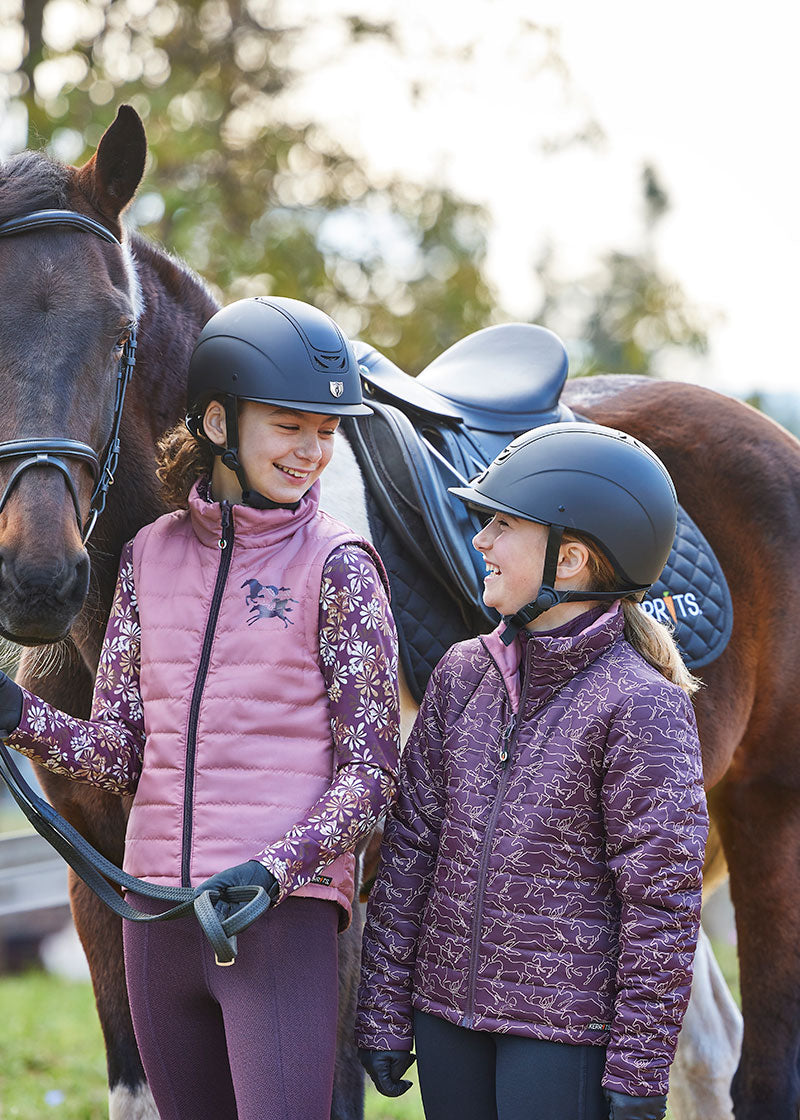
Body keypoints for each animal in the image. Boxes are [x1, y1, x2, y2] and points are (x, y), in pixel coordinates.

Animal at [1, 105, 797, 1120]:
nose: (35, 576)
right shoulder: (105, 886)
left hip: (771, 813)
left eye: (117, 335)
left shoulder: (332, 901)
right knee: (691, 1052)